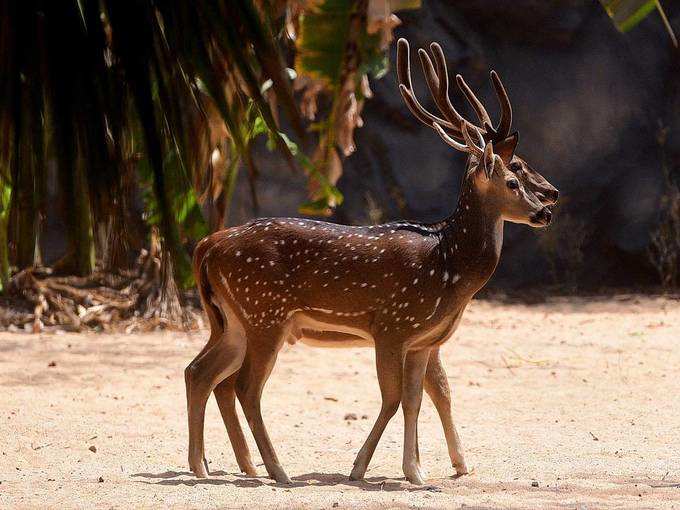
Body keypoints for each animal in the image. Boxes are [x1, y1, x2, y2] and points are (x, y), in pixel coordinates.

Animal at [186, 37, 556, 484]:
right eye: (514, 177)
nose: (547, 207)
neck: (448, 267)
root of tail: (207, 245)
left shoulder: (421, 339)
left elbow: (420, 397)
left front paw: (418, 469)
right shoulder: (392, 325)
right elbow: (395, 398)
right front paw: (365, 468)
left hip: (234, 320)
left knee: (200, 372)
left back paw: (207, 465)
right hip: (264, 313)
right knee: (244, 387)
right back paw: (275, 470)